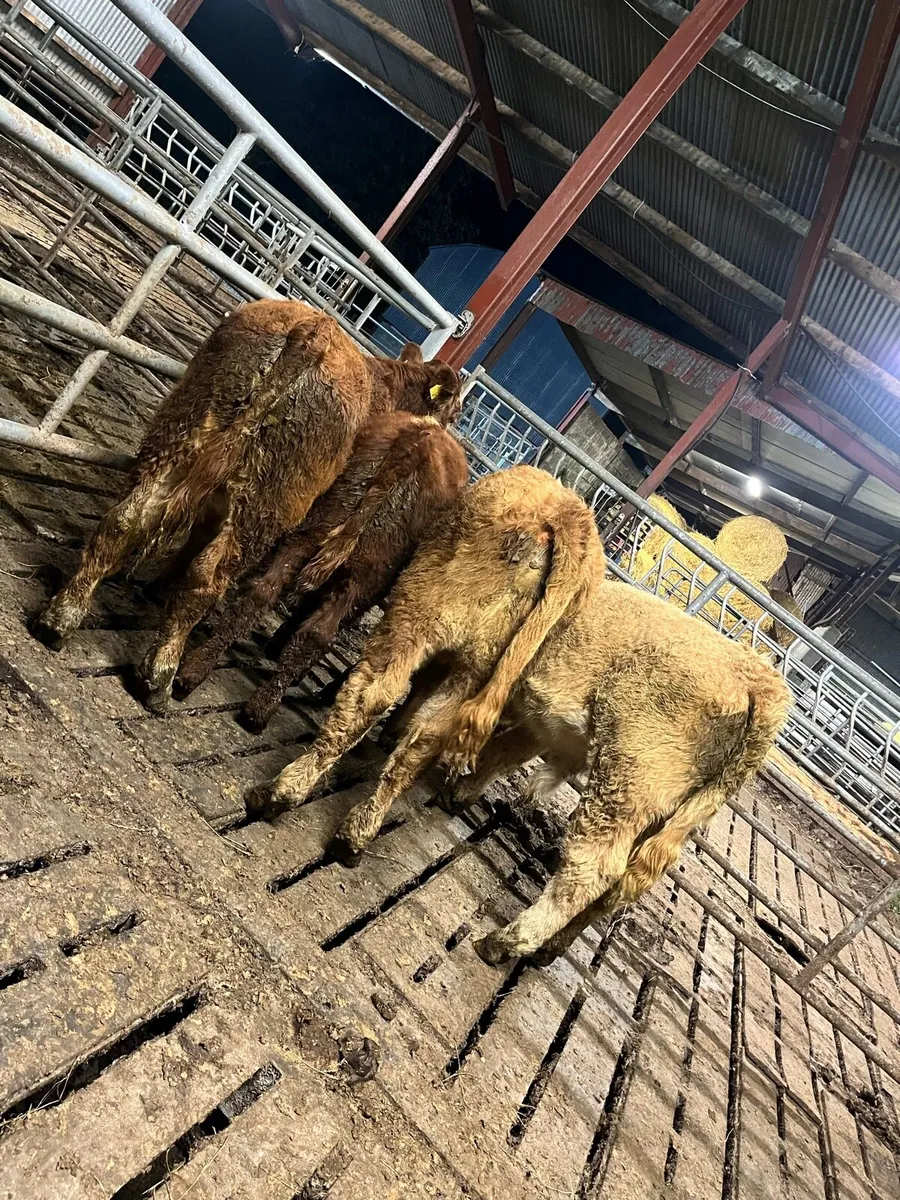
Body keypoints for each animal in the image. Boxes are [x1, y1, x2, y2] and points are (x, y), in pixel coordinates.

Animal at [174, 407, 469, 731]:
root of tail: (417, 441)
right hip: (363, 576)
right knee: (319, 632)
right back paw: (261, 709)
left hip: (312, 534)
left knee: (263, 592)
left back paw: (193, 672)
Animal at [248, 465, 791, 968]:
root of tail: (760, 683)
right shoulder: (535, 721)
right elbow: (480, 744)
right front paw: (449, 783)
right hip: (651, 803)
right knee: (623, 885)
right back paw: (546, 946)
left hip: (617, 771)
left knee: (590, 867)